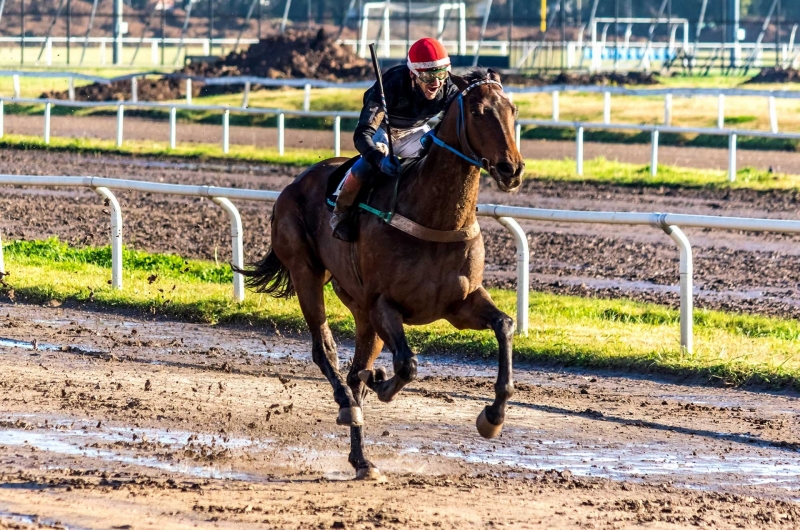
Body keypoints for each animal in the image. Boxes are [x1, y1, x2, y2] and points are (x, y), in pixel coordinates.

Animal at [238, 67, 524, 478]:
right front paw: (381, 383)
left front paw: (493, 416)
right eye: (478, 111)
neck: (434, 218)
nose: (511, 169)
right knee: (325, 350)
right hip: (307, 272)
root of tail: (296, 182)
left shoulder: (460, 303)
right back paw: (347, 404)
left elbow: (504, 325)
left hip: (359, 310)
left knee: (356, 367)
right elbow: (406, 364)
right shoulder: (383, 305)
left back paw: (362, 459)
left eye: (512, 110)